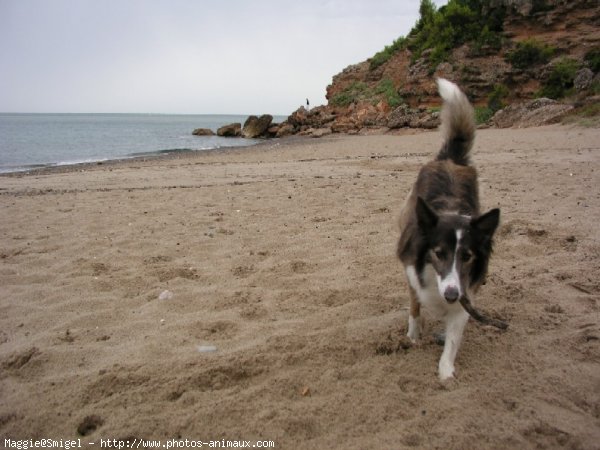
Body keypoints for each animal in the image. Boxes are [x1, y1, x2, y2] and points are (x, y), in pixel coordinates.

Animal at [398, 78, 502, 380]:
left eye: (467, 256)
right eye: (439, 253)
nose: (452, 295)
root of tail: (452, 159)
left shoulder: (466, 292)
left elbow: (454, 336)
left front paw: (446, 373)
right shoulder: (413, 275)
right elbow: (415, 308)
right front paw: (413, 337)